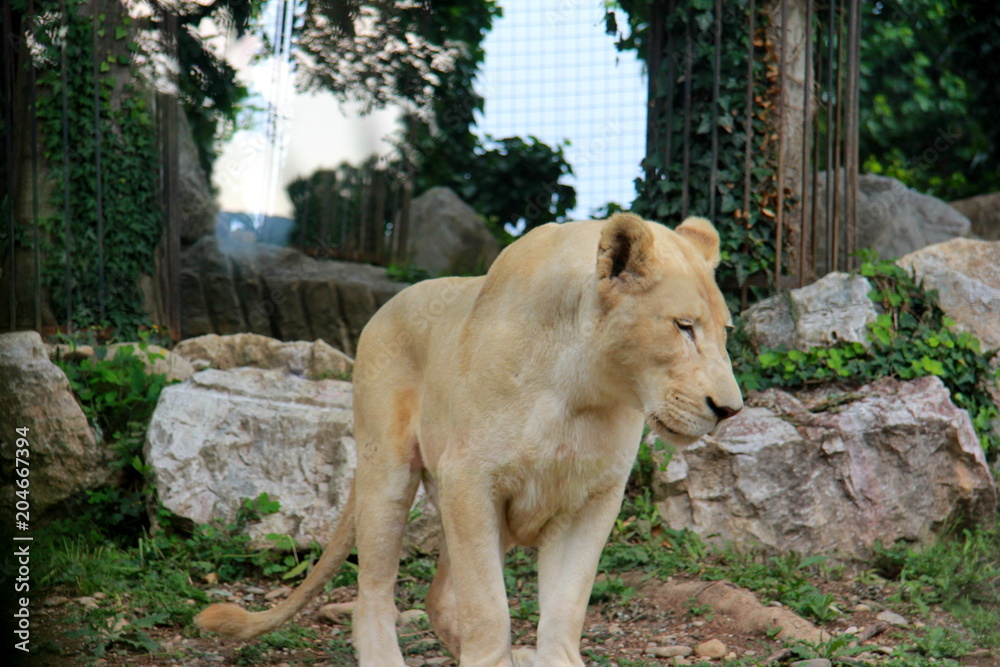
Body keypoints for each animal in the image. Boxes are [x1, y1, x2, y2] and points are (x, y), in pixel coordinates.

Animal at [196, 213, 743, 666]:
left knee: (437, 598)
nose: (730, 410)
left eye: (725, 332)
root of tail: (387, 305)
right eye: (683, 326)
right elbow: (487, 606)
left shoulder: (591, 499)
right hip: (388, 475)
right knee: (373, 593)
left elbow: (565, 609)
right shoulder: (472, 481)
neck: (581, 390)